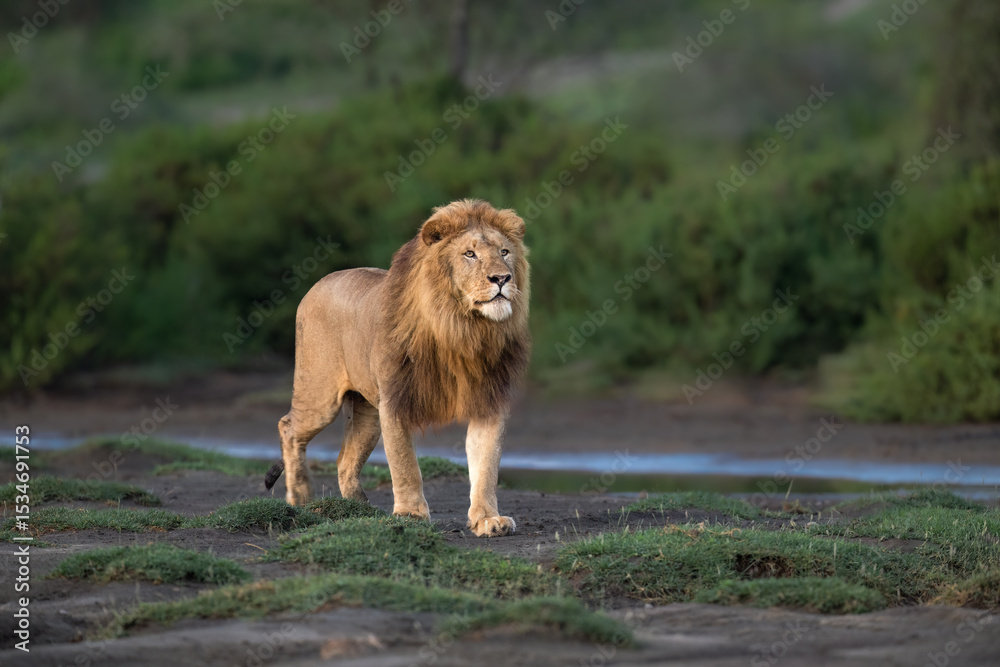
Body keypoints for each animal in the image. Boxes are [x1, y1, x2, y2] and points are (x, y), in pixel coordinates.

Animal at [264, 199, 530, 537]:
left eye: (505, 252)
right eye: (469, 254)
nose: (502, 279)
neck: (461, 329)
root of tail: (319, 283)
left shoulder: (489, 401)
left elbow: (486, 465)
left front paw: (487, 519)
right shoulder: (395, 400)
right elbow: (405, 464)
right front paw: (410, 515)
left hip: (366, 413)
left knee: (344, 460)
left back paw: (359, 510)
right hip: (320, 395)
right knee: (288, 427)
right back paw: (300, 497)